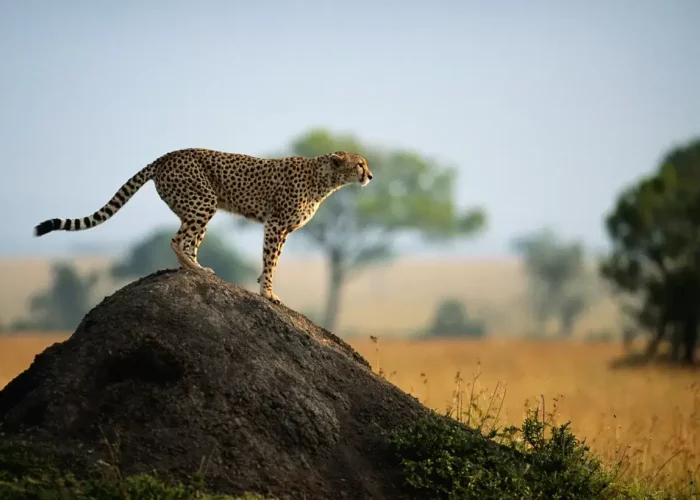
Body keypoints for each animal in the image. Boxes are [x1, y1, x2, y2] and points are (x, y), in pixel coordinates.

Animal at [34, 147, 372, 304]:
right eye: (360, 164)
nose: (370, 176)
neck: (325, 179)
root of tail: (167, 155)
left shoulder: (282, 229)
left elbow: (271, 261)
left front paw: (263, 286)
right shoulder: (276, 225)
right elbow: (271, 261)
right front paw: (268, 293)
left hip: (197, 207)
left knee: (189, 241)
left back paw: (194, 268)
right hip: (203, 201)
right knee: (178, 240)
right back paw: (195, 269)